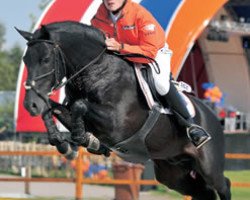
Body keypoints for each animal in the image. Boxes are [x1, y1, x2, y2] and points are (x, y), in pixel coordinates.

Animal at [15, 21, 230, 199]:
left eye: (45, 59)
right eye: (25, 59)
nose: (30, 105)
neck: (96, 70)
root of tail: (214, 117)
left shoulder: (115, 123)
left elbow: (79, 106)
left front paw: (84, 139)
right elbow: (53, 109)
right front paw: (65, 143)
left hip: (209, 167)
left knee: (223, 186)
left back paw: (197, 132)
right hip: (172, 172)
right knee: (203, 193)